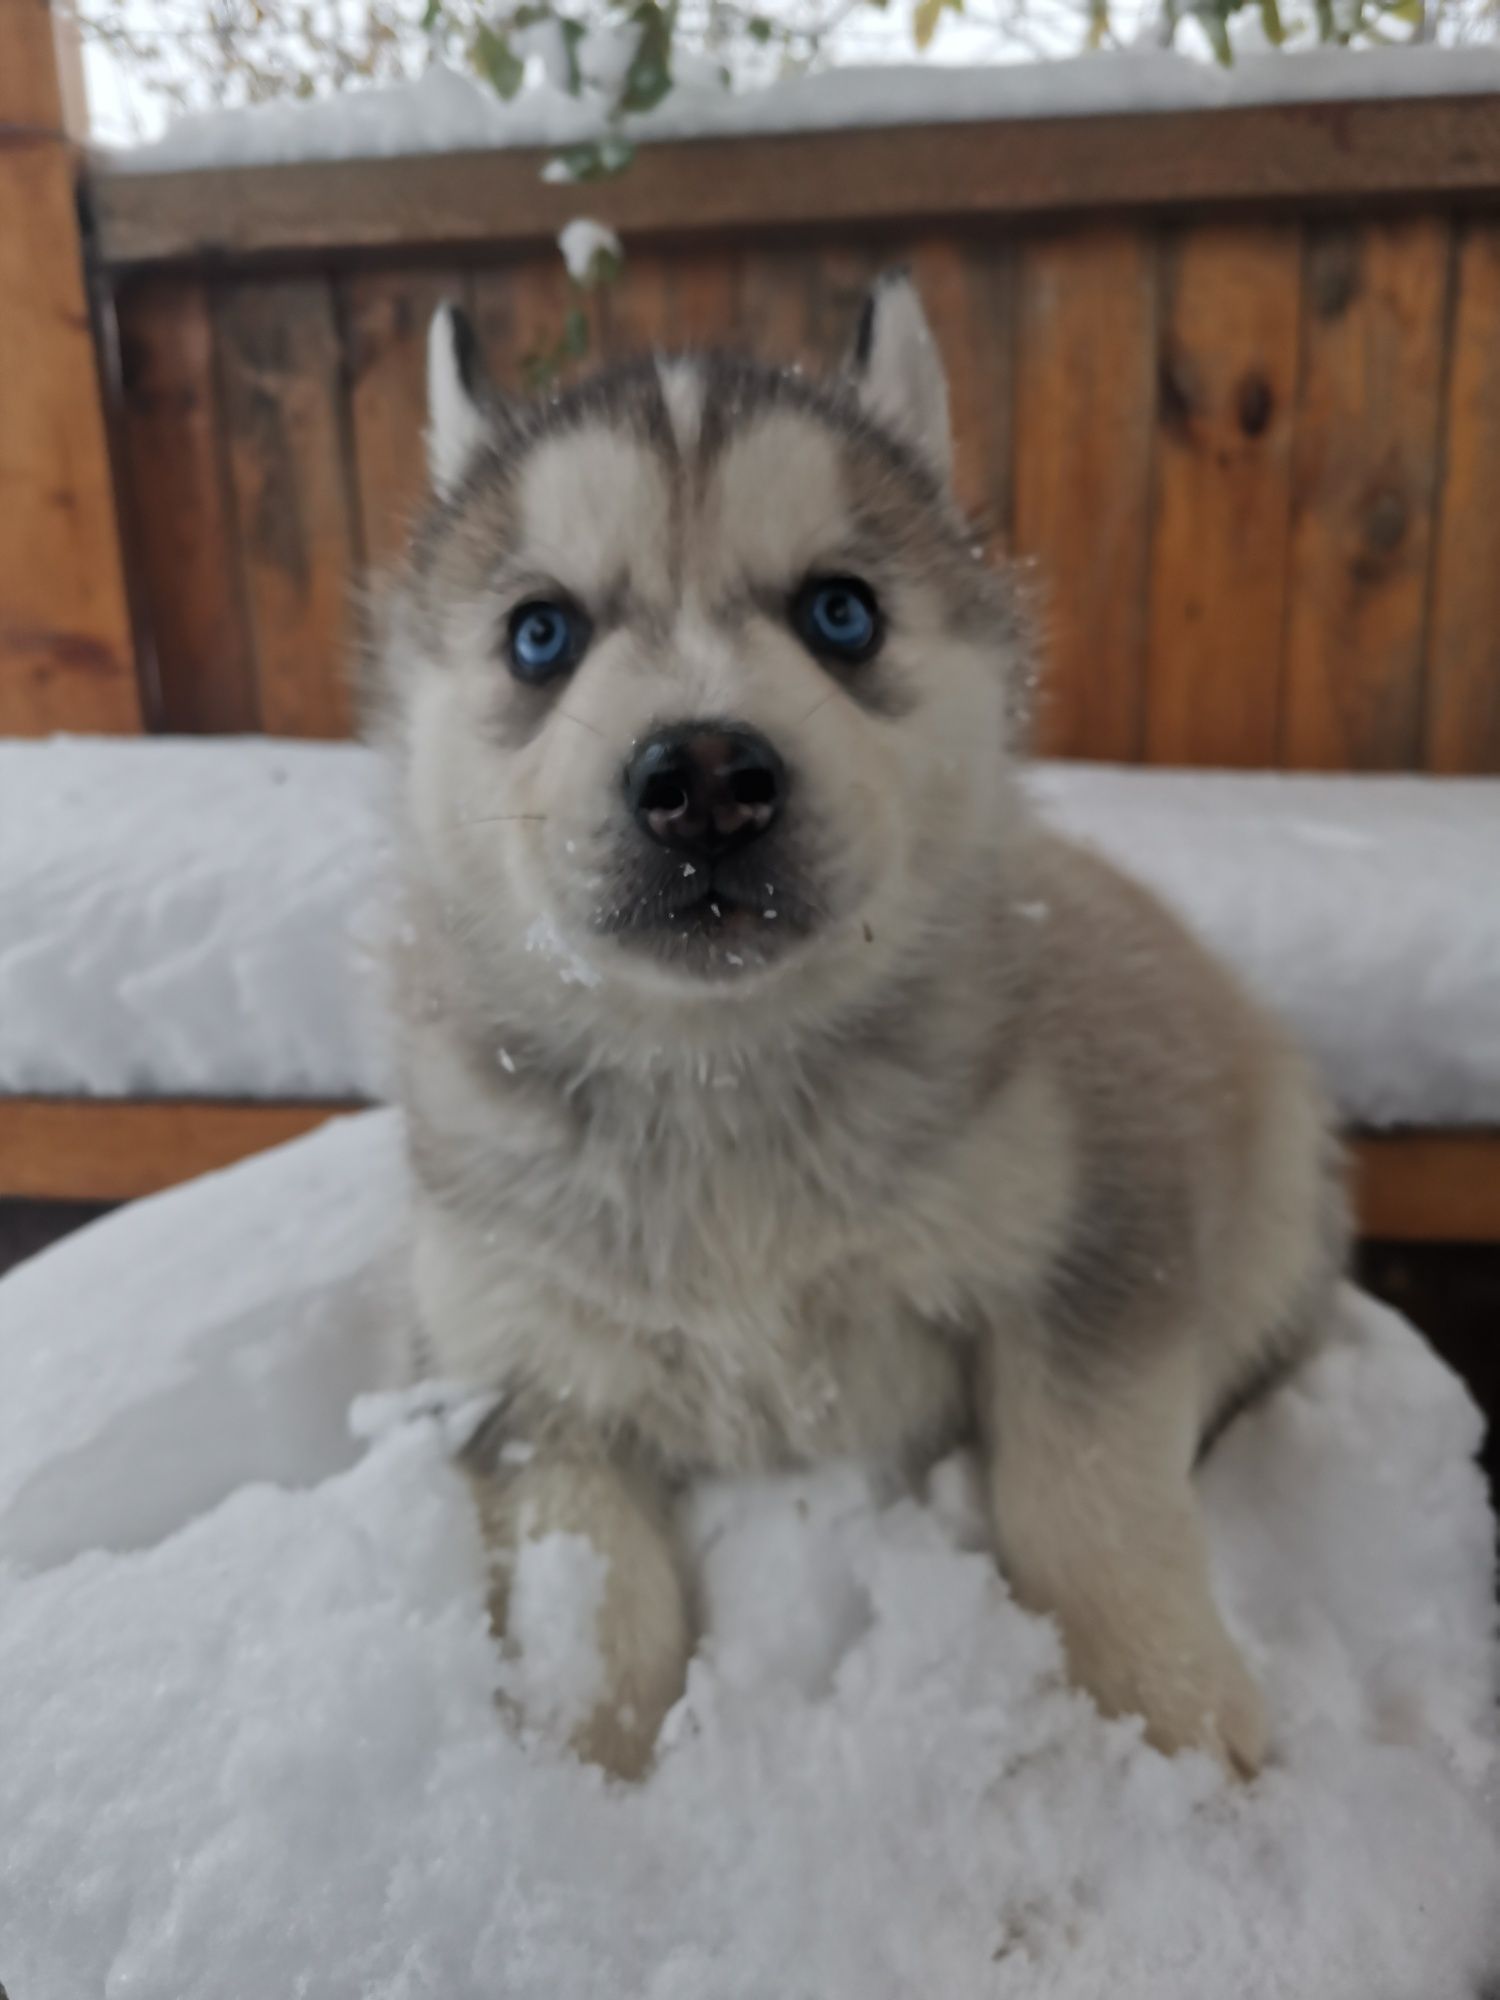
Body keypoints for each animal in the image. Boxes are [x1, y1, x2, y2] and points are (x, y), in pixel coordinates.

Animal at [374, 278, 1352, 1784]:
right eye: (541, 635)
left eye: (843, 615)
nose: (704, 776)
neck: (718, 1070)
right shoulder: (516, 1374)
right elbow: (587, 1602)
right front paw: (577, 1790)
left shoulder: (1098, 1254)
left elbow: (1084, 1498)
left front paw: (1182, 1728)